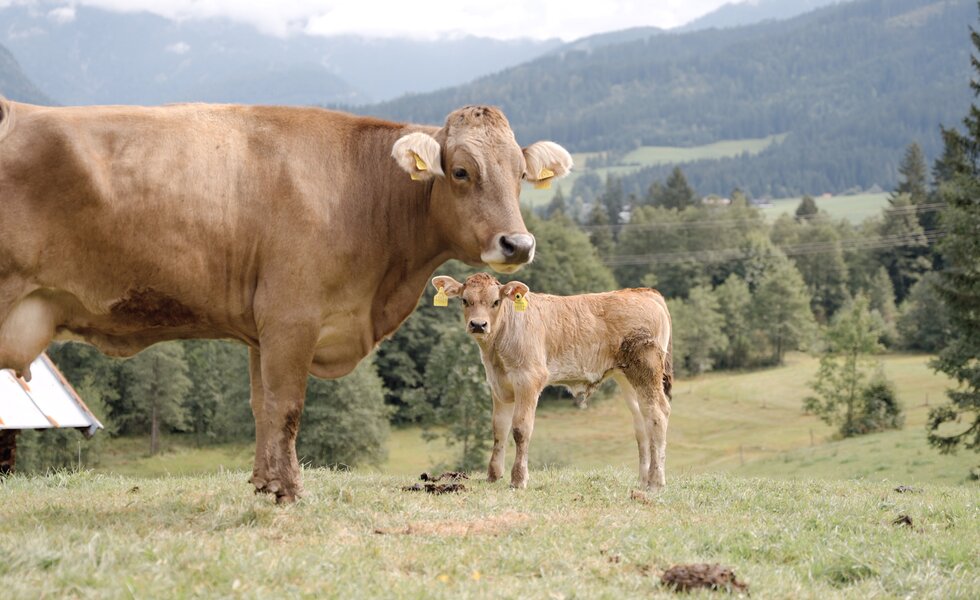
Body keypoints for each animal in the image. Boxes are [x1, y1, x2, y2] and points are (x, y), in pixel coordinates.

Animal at [0, 98, 573, 502]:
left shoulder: (262, 328)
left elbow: (263, 406)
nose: (518, 244)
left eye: (521, 174)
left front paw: (263, 482)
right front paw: (288, 490)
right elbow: (289, 407)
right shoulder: (292, 318)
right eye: (460, 171)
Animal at [431, 273, 673, 491]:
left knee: (658, 414)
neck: (496, 353)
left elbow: (520, 429)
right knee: (641, 421)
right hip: (627, 377)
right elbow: (499, 428)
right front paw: (493, 475)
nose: (478, 324)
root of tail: (643, 292)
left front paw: (518, 479)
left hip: (646, 369)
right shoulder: (498, 385)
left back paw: (655, 481)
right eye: (465, 300)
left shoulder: (529, 379)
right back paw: (643, 480)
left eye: (495, 302)